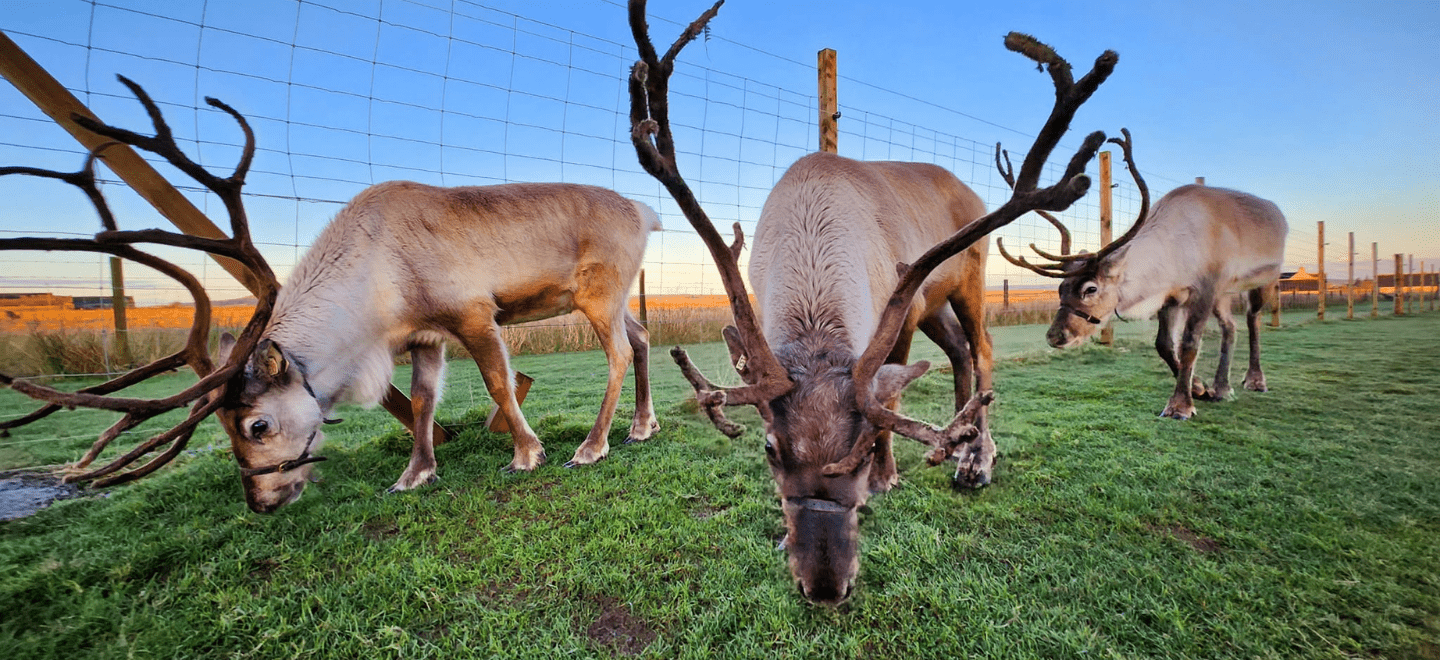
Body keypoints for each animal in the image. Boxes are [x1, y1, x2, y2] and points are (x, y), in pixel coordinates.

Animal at [0, 76, 661, 514]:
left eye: (257, 426)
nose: (261, 503)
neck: (376, 295)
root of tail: (645, 213)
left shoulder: (473, 312)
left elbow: (499, 383)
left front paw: (527, 453)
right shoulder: (423, 335)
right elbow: (423, 403)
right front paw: (414, 474)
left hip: (597, 292)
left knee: (616, 352)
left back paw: (592, 446)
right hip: (615, 297)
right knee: (642, 335)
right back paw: (641, 427)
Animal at [626, 0, 1119, 604]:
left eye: (859, 455)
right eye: (769, 449)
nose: (823, 587)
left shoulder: (896, 313)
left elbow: (892, 394)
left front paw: (889, 474)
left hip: (968, 279)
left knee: (981, 348)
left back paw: (977, 456)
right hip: (933, 305)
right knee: (957, 352)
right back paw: (958, 441)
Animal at [998, 131, 1288, 419]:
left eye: (1090, 288)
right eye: (1060, 288)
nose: (1055, 336)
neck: (1175, 250)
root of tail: (1279, 214)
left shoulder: (1205, 288)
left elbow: (1189, 343)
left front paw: (1180, 405)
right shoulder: (1171, 296)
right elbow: (1164, 344)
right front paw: (1199, 387)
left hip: (1264, 279)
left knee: (1253, 319)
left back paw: (1255, 379)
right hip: (1224, 294)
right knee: (1230, 326)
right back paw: (1222, 388)